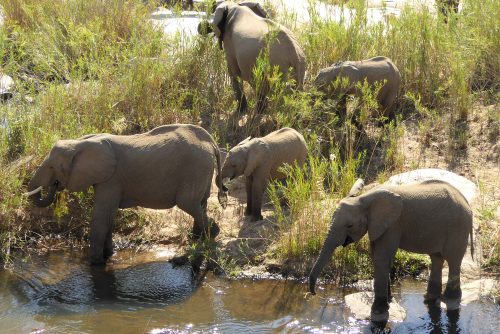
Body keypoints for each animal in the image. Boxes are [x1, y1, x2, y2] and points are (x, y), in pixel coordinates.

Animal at [27, 124, 229, 264]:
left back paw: (212, 234)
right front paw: (109, 255)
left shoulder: (111, 179)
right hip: (201, 169)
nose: (55, 185)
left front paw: (95, 264)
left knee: (187, 203)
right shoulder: (107, 179)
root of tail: (210, 141)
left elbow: (101, 215)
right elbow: (108, 216)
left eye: (52, 167)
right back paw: (200, 237)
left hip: (195, 168)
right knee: (201, 203)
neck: (78, 143)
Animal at [308, 180, 472, 324]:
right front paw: (389, 300)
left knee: (453, 260)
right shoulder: (377, 226)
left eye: (349, 225)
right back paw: (430, 298)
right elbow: (378, 257)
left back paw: (450, 299)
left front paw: (378, 312)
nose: (313, 294)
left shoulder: (393, 225)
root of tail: (466, 202)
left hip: (458, 227)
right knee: (436, 258)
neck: (364, 198)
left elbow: (381, 258)